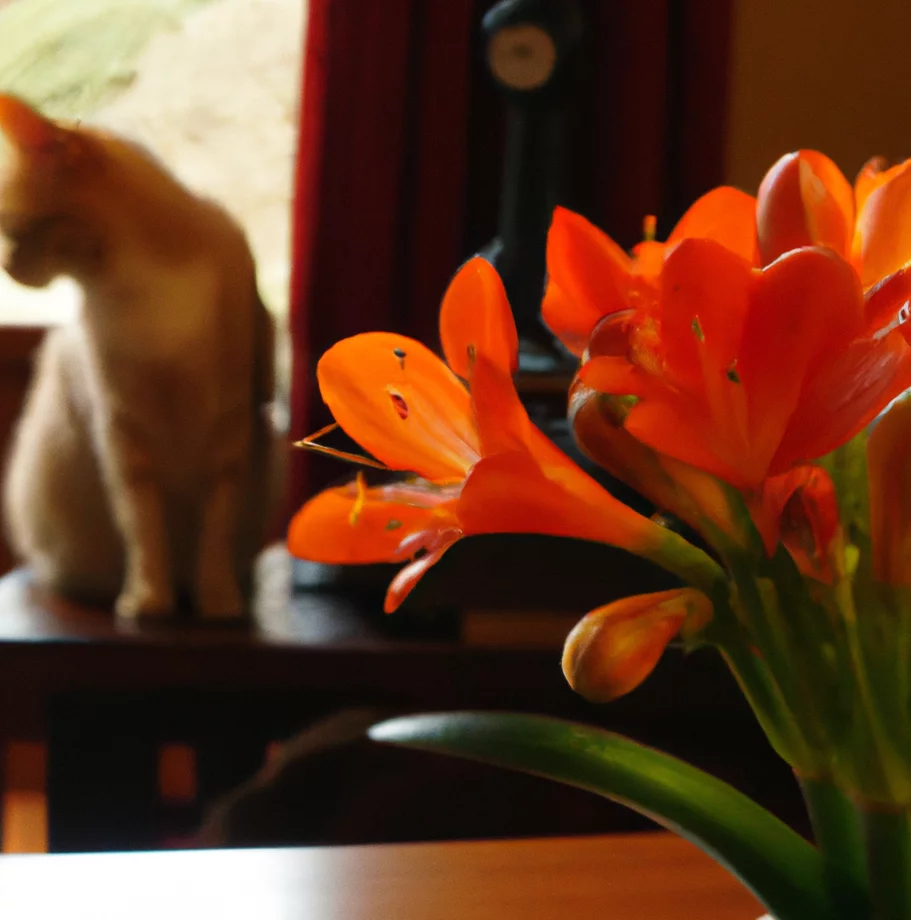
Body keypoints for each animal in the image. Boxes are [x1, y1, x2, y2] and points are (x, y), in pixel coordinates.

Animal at [0, 97, 282, 620]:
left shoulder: (231, 431)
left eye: (12, 228)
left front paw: (218, 599)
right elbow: (143, 528)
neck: (144, 286)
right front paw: (148, 599)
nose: (6, 268)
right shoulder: (122, 435)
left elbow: (216, 529)